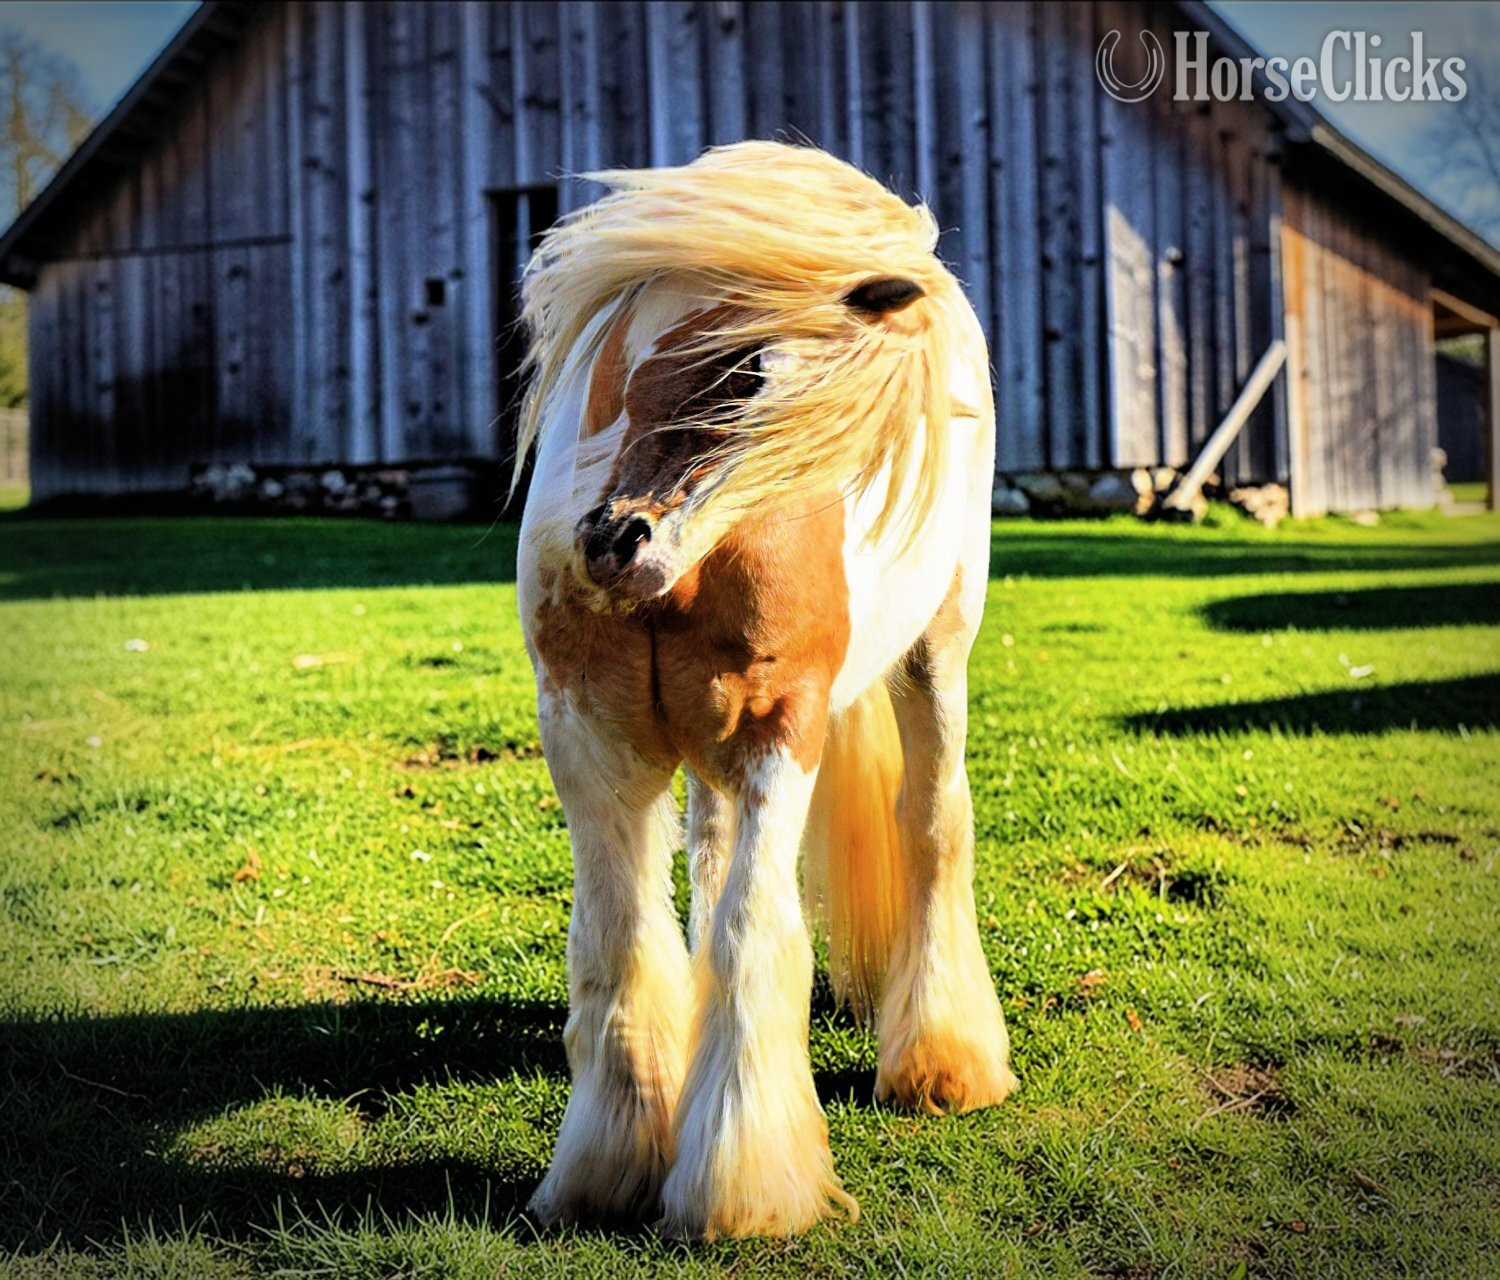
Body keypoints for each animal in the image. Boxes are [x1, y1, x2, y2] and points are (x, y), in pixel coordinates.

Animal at [515, 141, 1017, 1240]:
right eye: (743, 371)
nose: (621, 545)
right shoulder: (588, 739)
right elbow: (616, 946)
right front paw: (604, 1167)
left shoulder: (779, 730)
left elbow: (752, 934)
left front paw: (739, 1183)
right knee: (707, 857)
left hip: (936, 654)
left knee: (932, 824)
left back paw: (944, 1062)